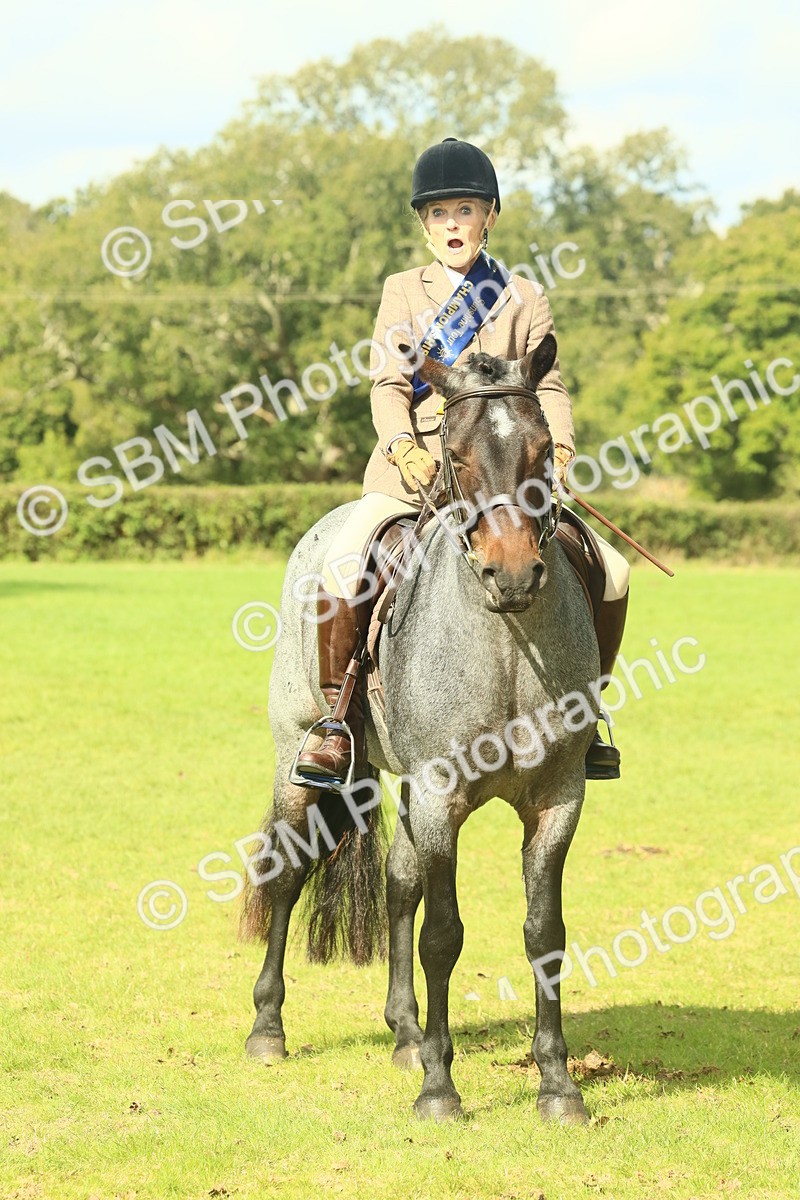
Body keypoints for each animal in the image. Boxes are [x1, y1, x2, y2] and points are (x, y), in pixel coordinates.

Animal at [240, 333, 599, 1123]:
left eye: (541, 449)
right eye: (455, 455)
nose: (512, 575)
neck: (506, 641)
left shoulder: (558, 799)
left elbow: (545, 932)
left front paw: (558, 1086)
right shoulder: (441, 796)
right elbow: (443, 934)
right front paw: (440, 1089)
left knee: (400, 883)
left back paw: (405, 1033)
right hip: (298, 759)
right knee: (288, 876)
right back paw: (268, 1028)